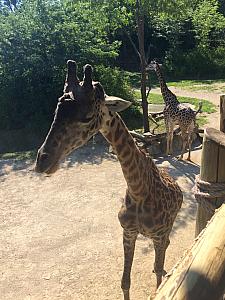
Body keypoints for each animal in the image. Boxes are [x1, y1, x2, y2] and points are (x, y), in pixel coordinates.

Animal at [34, 59, 183, 298]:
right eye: (56, 111)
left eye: (86, 117)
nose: (42, 162)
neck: (138, 189)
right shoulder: (128, 232)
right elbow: (125, 282)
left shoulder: (158, 235)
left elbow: (160, 277)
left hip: (168, 227)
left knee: (165, 250)